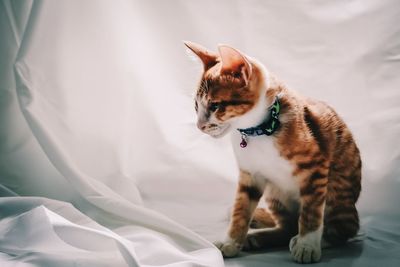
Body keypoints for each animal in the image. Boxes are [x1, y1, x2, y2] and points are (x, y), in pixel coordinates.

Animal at [184, 41, 362, 264]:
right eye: (196, 105)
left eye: (215, 106)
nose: (199, 126)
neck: (258, 131)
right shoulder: (250, 174)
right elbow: (240, 209)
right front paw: (231, 241)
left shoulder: (315, 166)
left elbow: (311, 211)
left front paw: (307, 244)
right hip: (276, 193)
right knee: (287, 227)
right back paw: (258, 238)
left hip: (337, 190)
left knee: (344, 228)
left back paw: (317, 239)